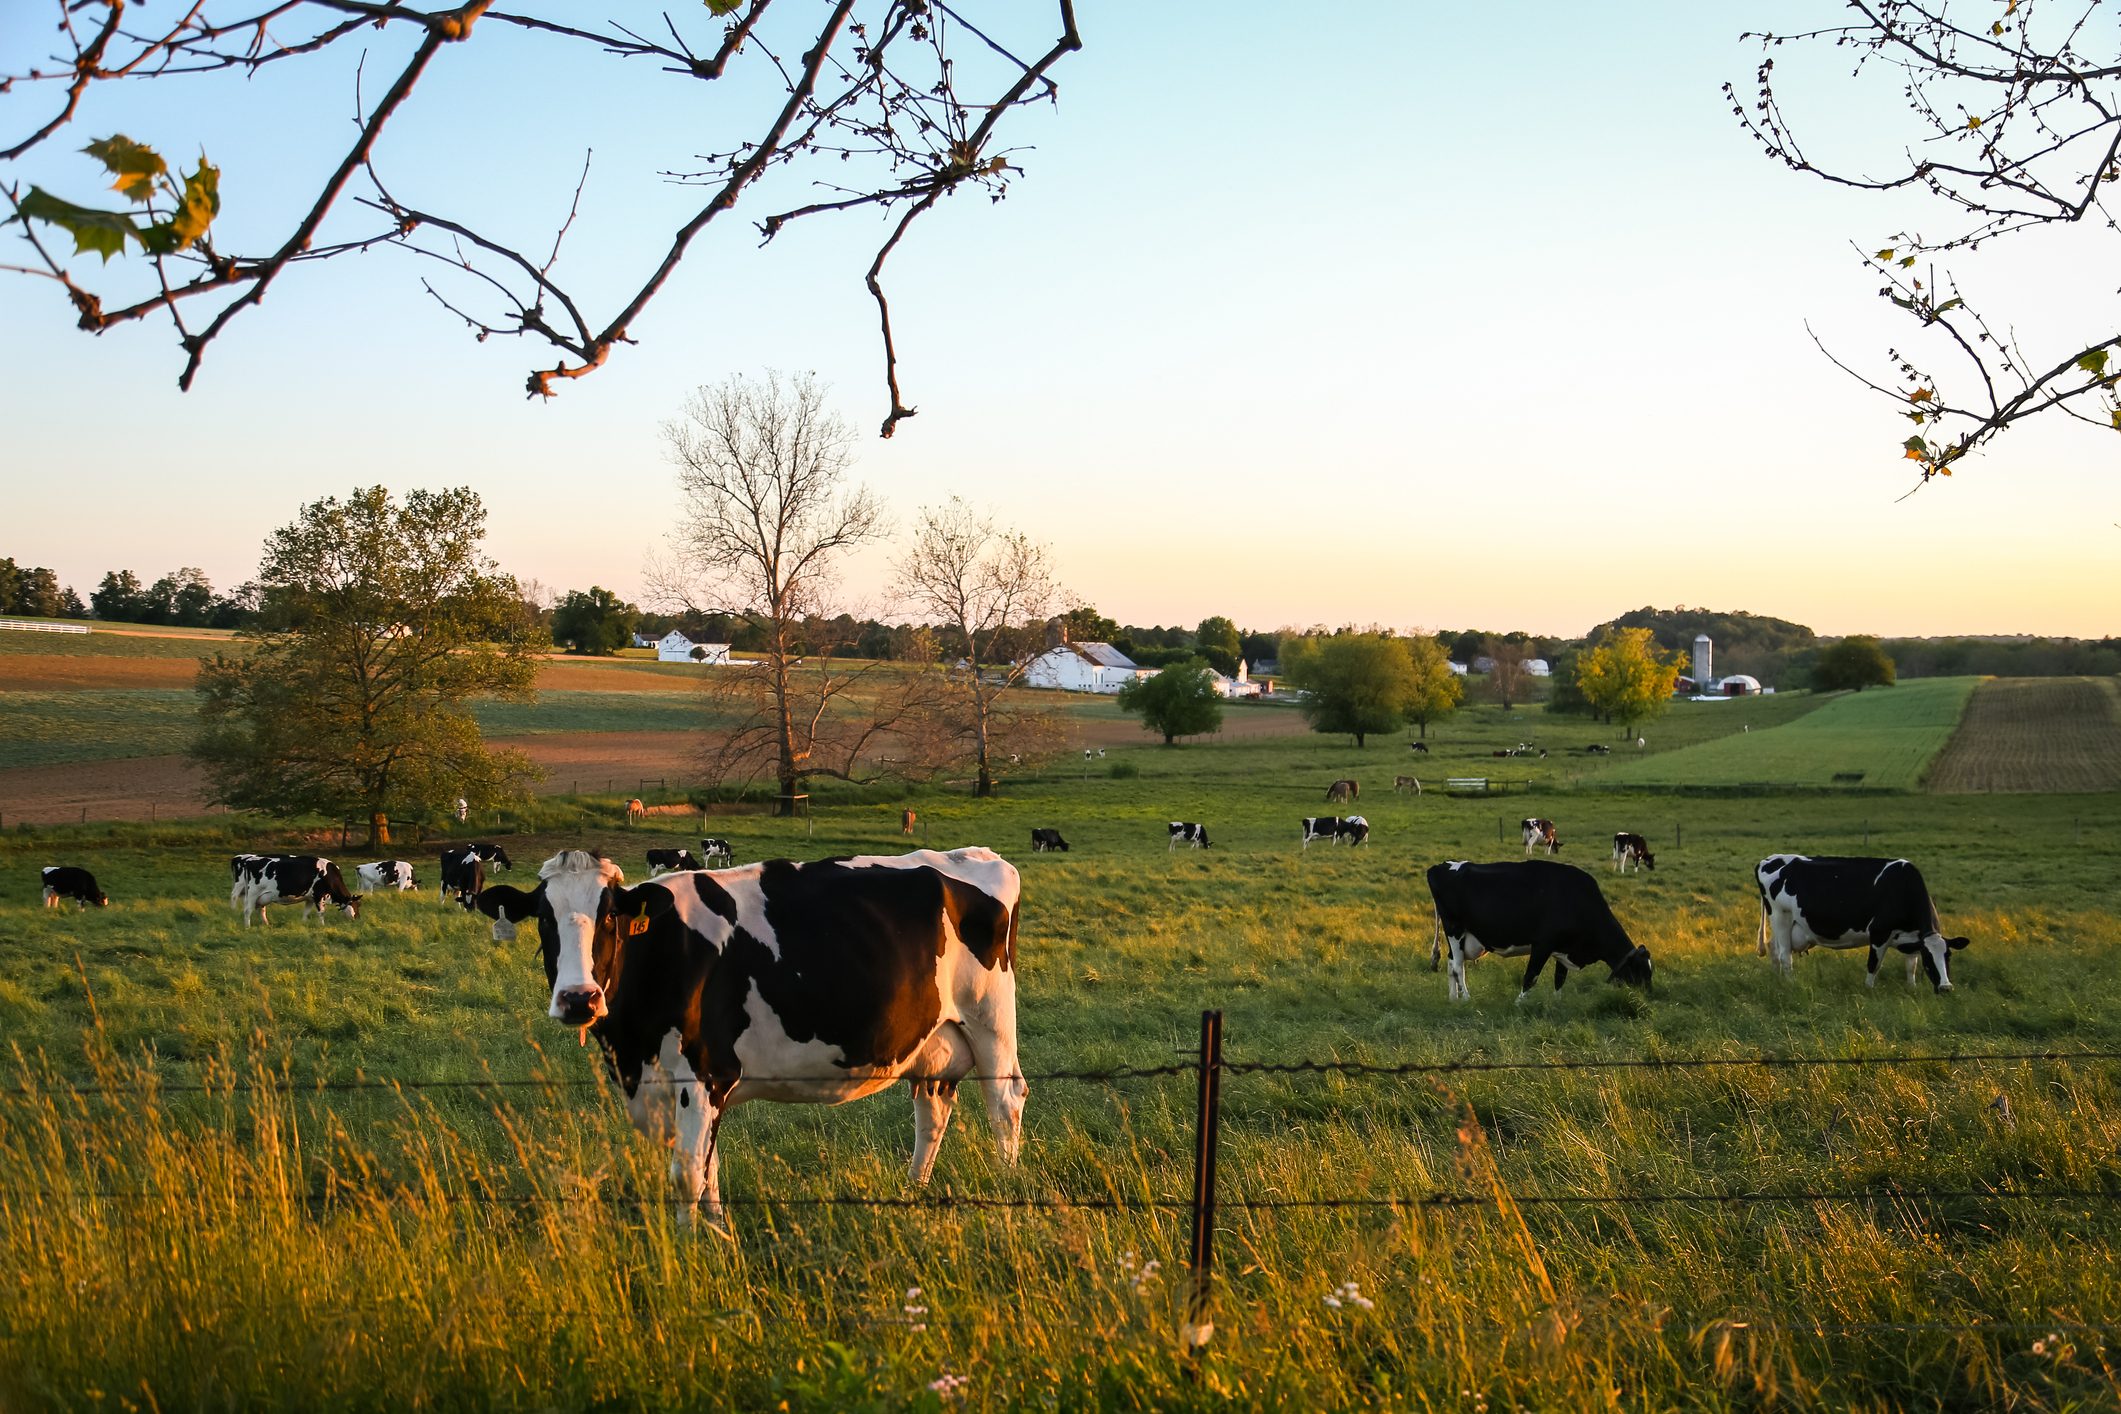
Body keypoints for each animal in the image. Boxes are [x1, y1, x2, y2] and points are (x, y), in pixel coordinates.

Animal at [532, 846, 1025, 1226]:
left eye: (609, 917)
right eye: (543, 920)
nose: (579, 999)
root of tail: (978, 855)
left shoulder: (704, 1073)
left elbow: (689, 1174)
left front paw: (692, 1254)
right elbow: (710, 1170)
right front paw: (720, 1238)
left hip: (990, 1019)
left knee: (1005, 1101)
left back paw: (1006, 1185)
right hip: (932, 1041)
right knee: (933, 1110)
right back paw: (913, 1190)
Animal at [1425, 860, 1654, 1002]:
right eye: (1640, 971)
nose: (1647, 997)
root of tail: (1440, 866)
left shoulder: (1564, 947)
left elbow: (1559, 978)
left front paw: (1557, 1002)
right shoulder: (1543, 944)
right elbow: (1531, 977)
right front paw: (1518, 1003)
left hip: (1464, 938)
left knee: (1451, 963)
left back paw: (1454, 999)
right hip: (1454, 929)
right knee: (1457, 967)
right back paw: (1466, 998)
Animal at [1755, 854, 1971, 993]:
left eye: (1948, 955)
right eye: (1929, 957)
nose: (1946, 988)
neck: (1903, 888)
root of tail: (1769, 859)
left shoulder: (1912, 939)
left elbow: (1911, 965)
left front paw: (1912, 988)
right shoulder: (1879, 933)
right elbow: (1874, 965)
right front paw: (1868, 990)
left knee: (1773, 949)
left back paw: (1777, 980)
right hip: (1781, 917)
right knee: (1785, 955)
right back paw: (1790, 984)